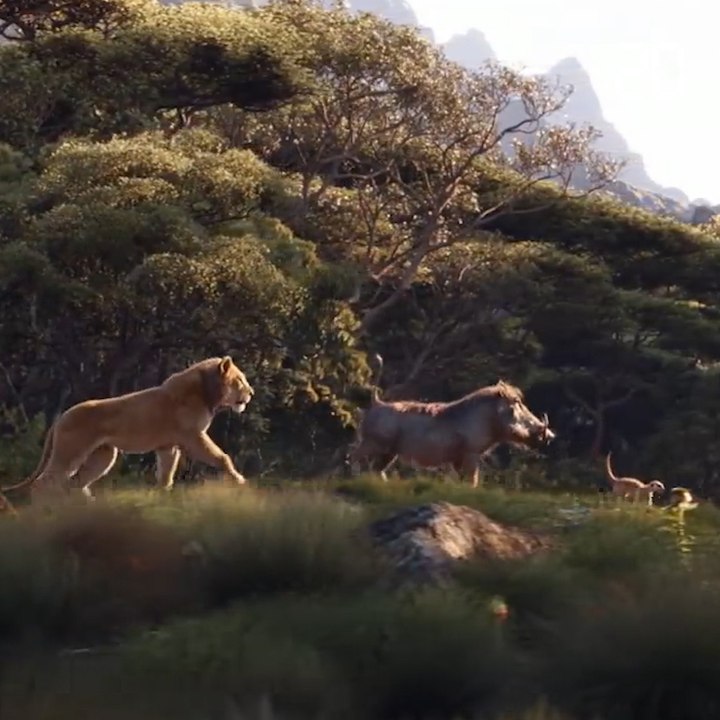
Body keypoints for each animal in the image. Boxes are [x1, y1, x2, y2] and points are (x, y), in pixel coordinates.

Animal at [1, 356, 254, 508]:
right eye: (240, 380)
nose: (251, 393)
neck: (208, 392)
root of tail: (61, 416)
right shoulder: (193, 436)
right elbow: (222, 457)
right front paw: (239, 481)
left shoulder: (168, 445)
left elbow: (166, 474)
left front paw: (163, 497)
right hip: (71, 451)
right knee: (45, 482)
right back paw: (44, 510)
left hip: (104, 454)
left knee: (76, 483)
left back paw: (90, 508)